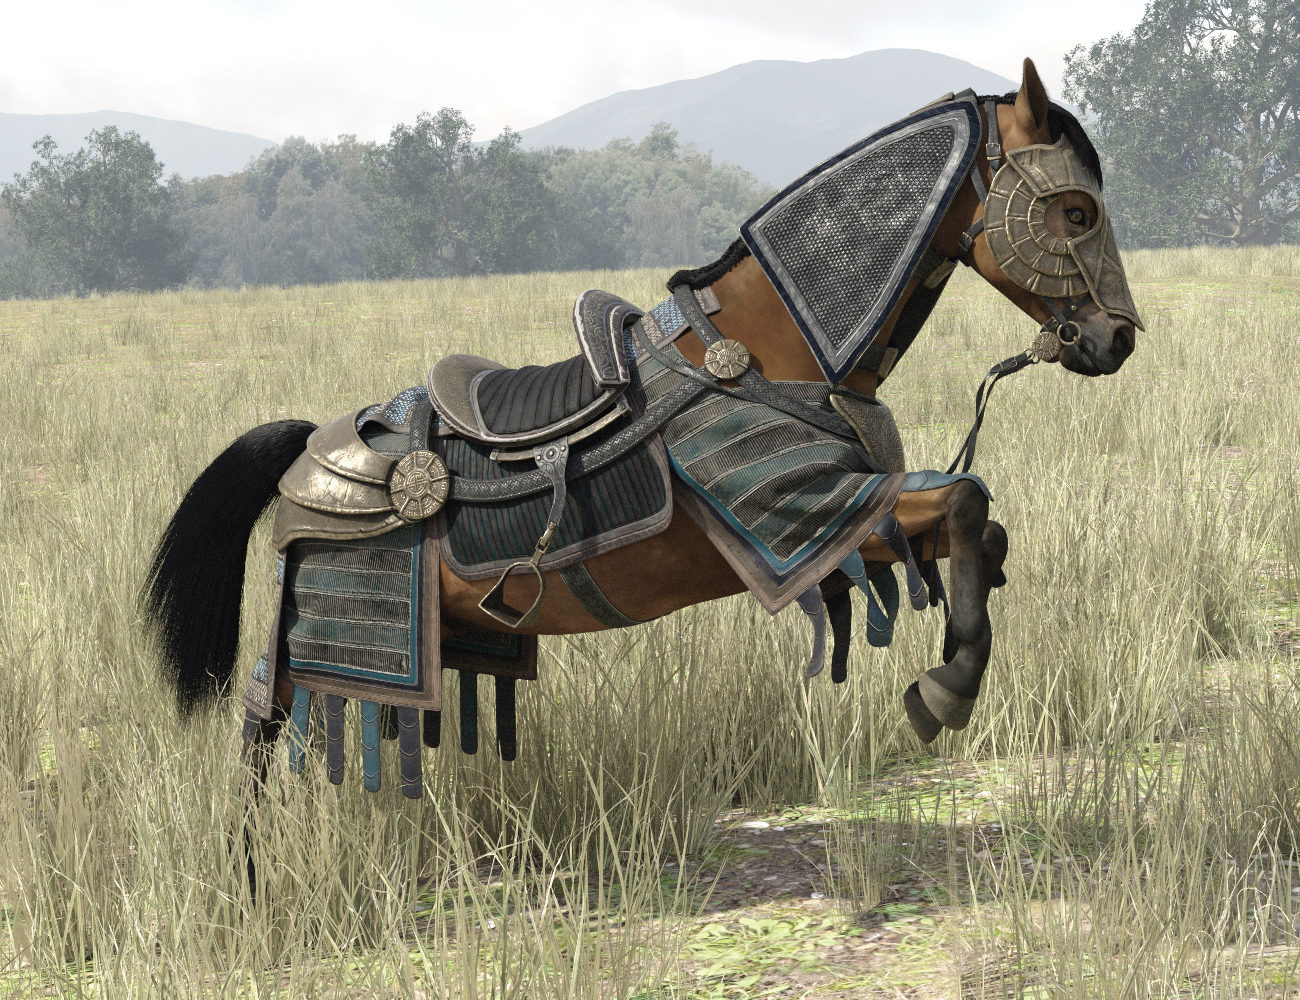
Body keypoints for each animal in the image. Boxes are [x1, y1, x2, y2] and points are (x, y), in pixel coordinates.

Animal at [142, 58, 1139, 798]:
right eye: (1074, 210)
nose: (1115, 339)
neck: (769, 344)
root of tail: (313, 445)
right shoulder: (810, 514)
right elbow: (967, 501)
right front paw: (947, 688)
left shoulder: (857, 524)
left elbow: (979, 526)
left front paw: (953, 665)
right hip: (330, 639)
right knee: (262, 731)